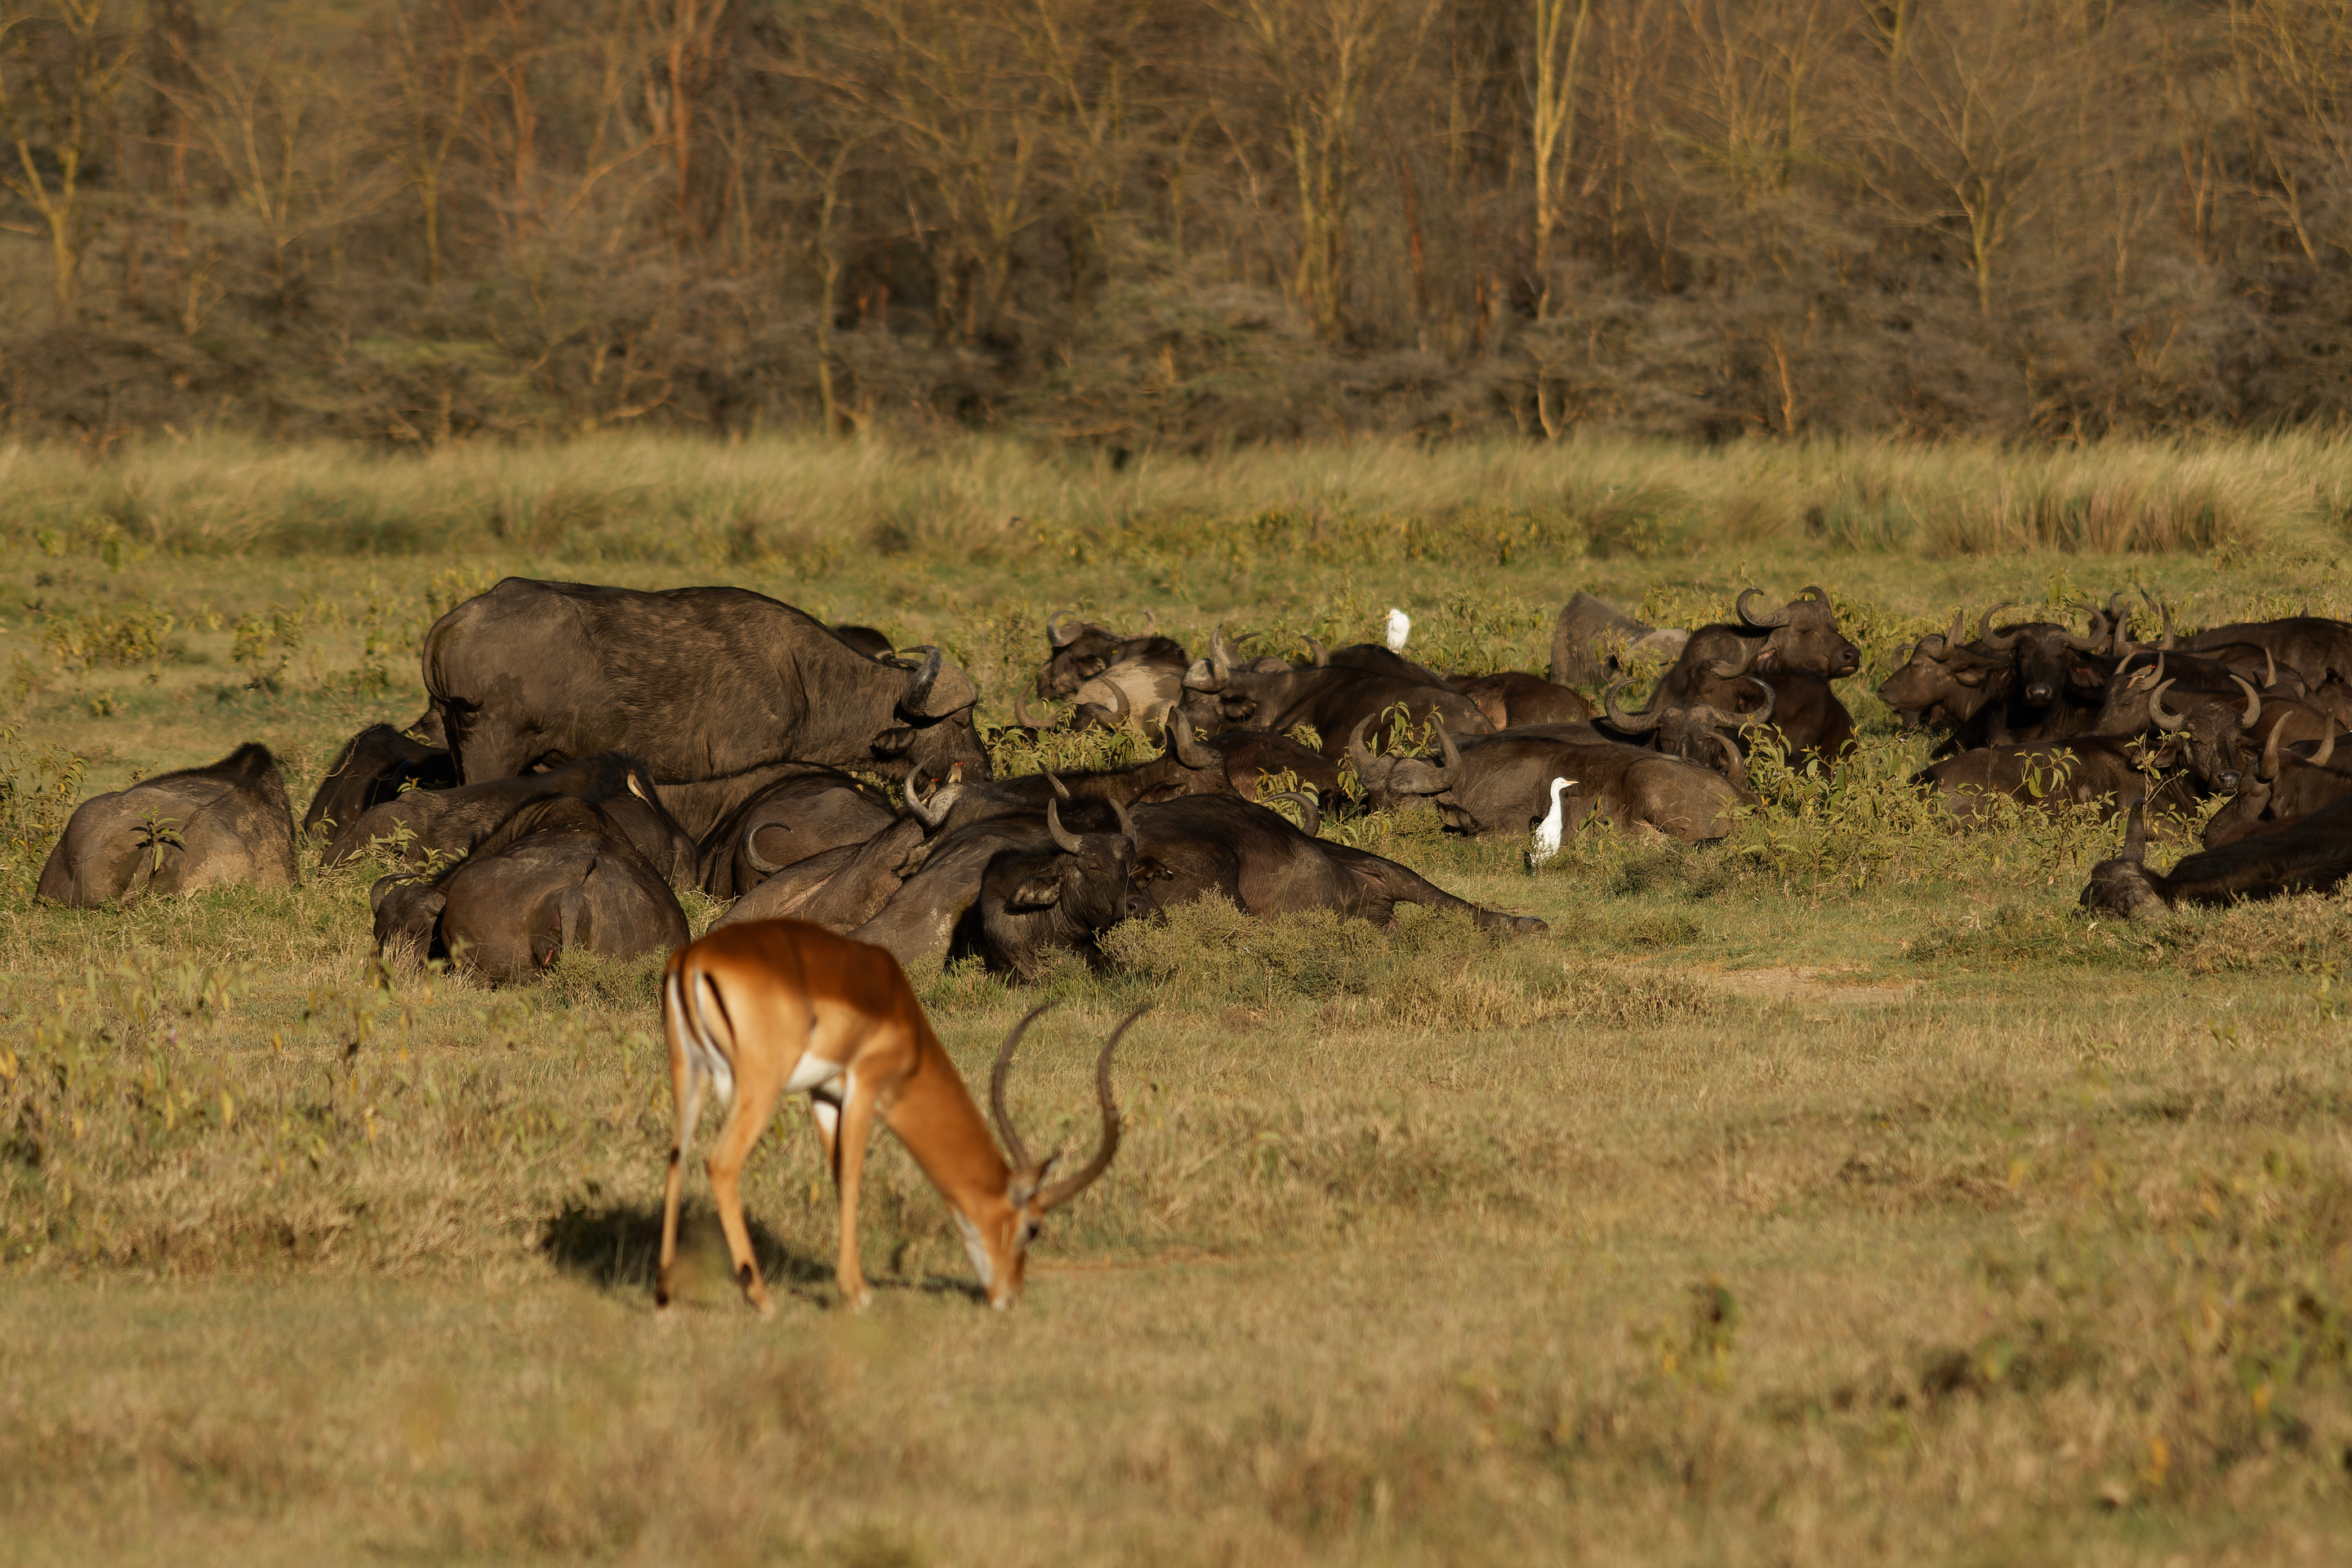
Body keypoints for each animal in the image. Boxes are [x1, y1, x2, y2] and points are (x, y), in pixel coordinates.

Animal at [656, 919, 1142, 1313]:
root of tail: (693, 959)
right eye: (1033, 1228)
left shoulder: (824, 1095)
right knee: (720, 1163)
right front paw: (857, 1294)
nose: (1008, 1297)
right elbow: (851, 1177)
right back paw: (760, 1299)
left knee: (676, 1158)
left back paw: (664, 1297)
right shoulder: (866, 1086)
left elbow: (838, 1176)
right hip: (759, 1086)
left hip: (689, 1075)